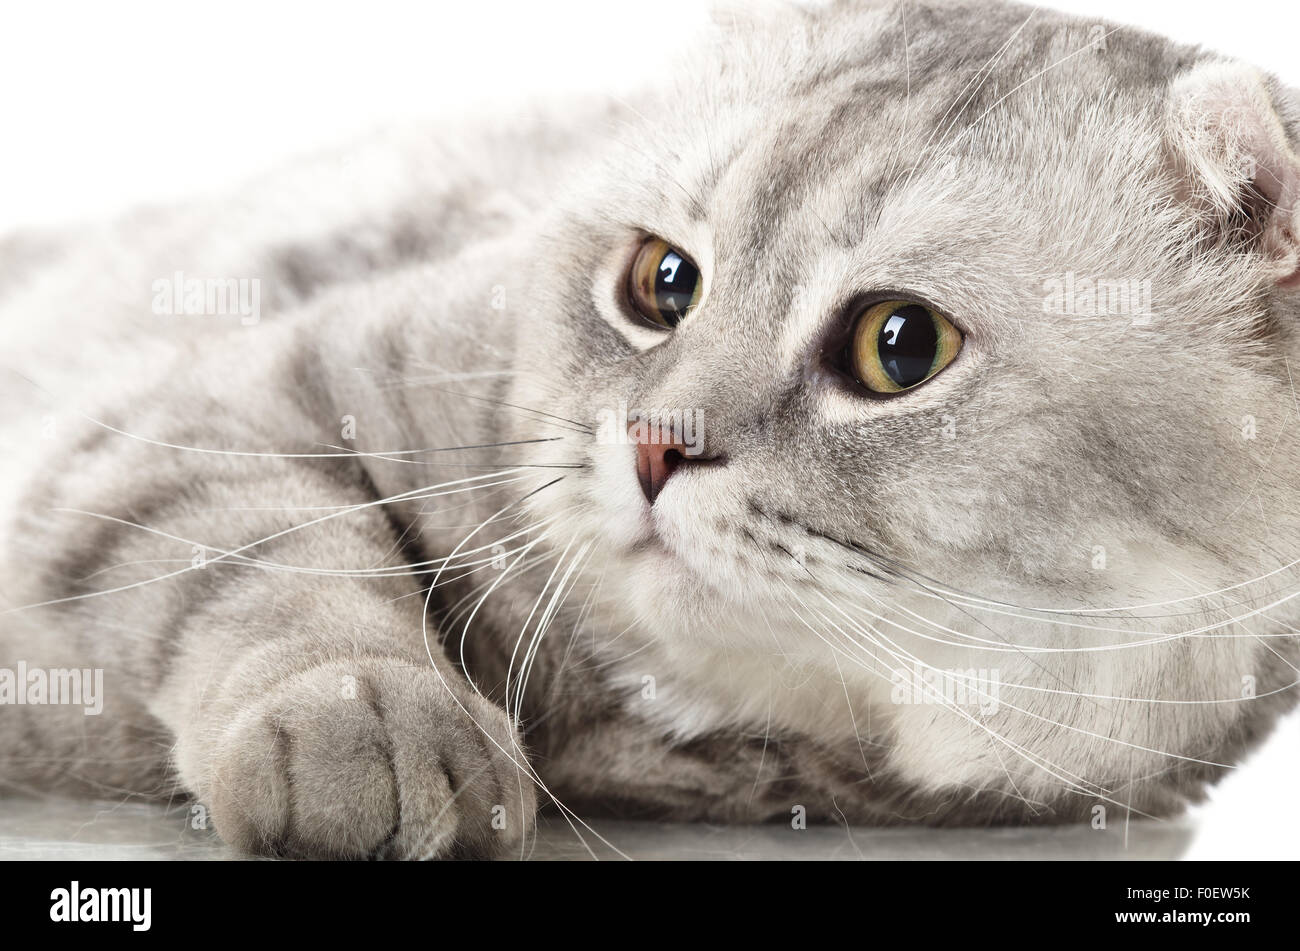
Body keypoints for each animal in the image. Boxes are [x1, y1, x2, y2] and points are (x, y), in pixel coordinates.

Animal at [2, 0, 1300, 862]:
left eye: (899, 346)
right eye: (661, 282)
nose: (650, 444)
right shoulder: (206, 408)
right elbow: (273, 561)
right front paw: (368, 718)